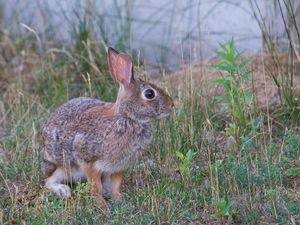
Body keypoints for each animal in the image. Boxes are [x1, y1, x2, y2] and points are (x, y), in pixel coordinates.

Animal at [41, 47, 175, 204]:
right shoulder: (88, 161)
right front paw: (101, 204)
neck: (127, 117)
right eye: (149, 93)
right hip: (64, 167)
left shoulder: (119, 166)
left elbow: (116, 184)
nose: (171, 105)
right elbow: (95, 186)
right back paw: (64, 191)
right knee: (49, 181)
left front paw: (119, 199)